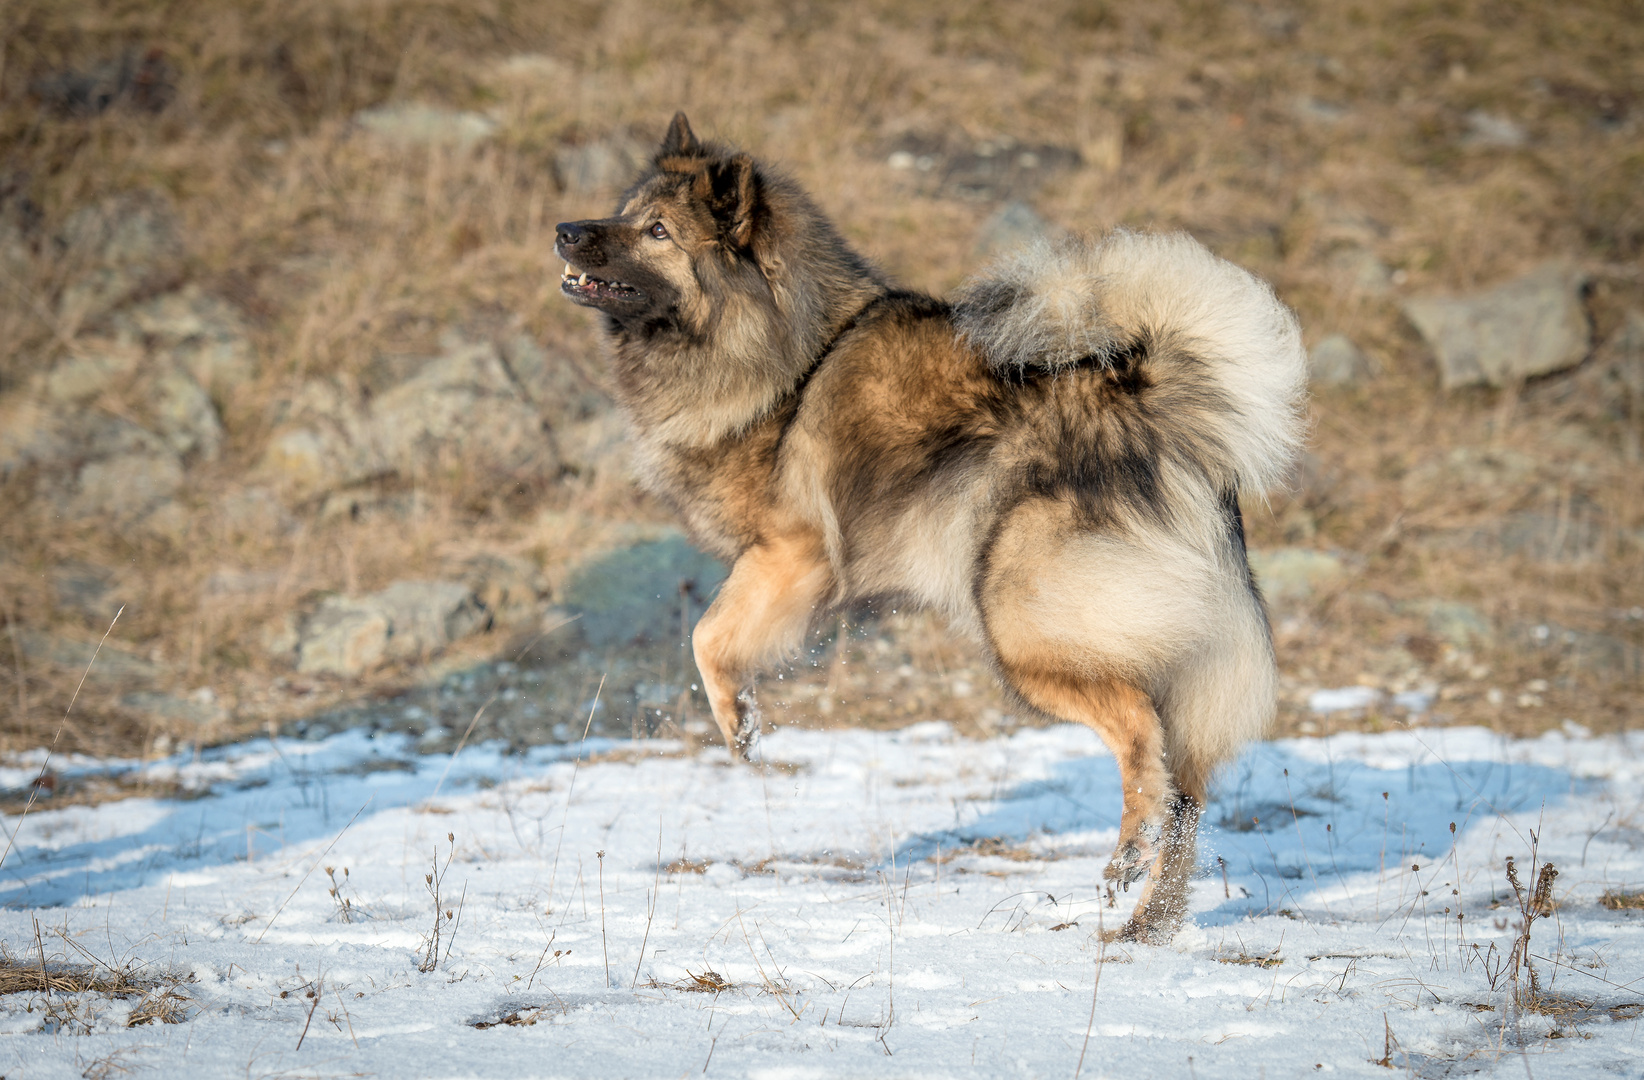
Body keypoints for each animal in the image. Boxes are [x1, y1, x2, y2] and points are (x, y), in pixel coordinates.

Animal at [558, 113, 1302, 940]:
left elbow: (708, 638)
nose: (564, 230)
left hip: (1023, 628)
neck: (790, 353)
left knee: (1143, 740)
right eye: (624, 211)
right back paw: (1147, 922)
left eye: (657, 231)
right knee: (1186, 796)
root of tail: (1148, 400)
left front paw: (740, 728)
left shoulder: (791, 555)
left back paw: (1125, 860)